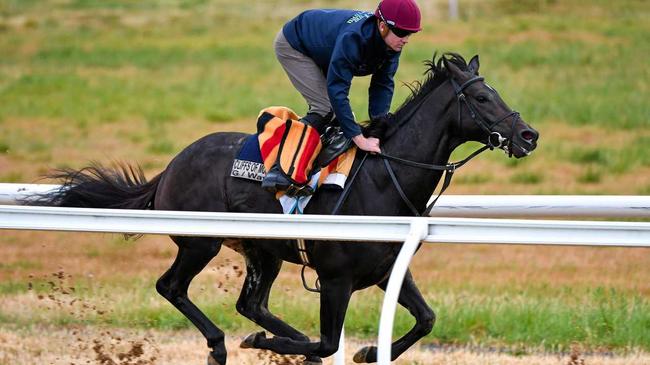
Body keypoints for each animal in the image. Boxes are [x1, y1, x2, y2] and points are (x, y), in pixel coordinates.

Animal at [35, 52, 536, 362]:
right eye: (483, 97)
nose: (529, 135)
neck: (382, 180)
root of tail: (173, 164)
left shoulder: (388, 269)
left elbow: (426, 320)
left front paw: (369, 350)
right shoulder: (335, 279)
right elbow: (327, 342)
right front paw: (276, 345)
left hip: (261, 250)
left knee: (251, 303)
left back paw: (274, 333)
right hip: (201, 242)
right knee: (171, 286)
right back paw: (222, 344)